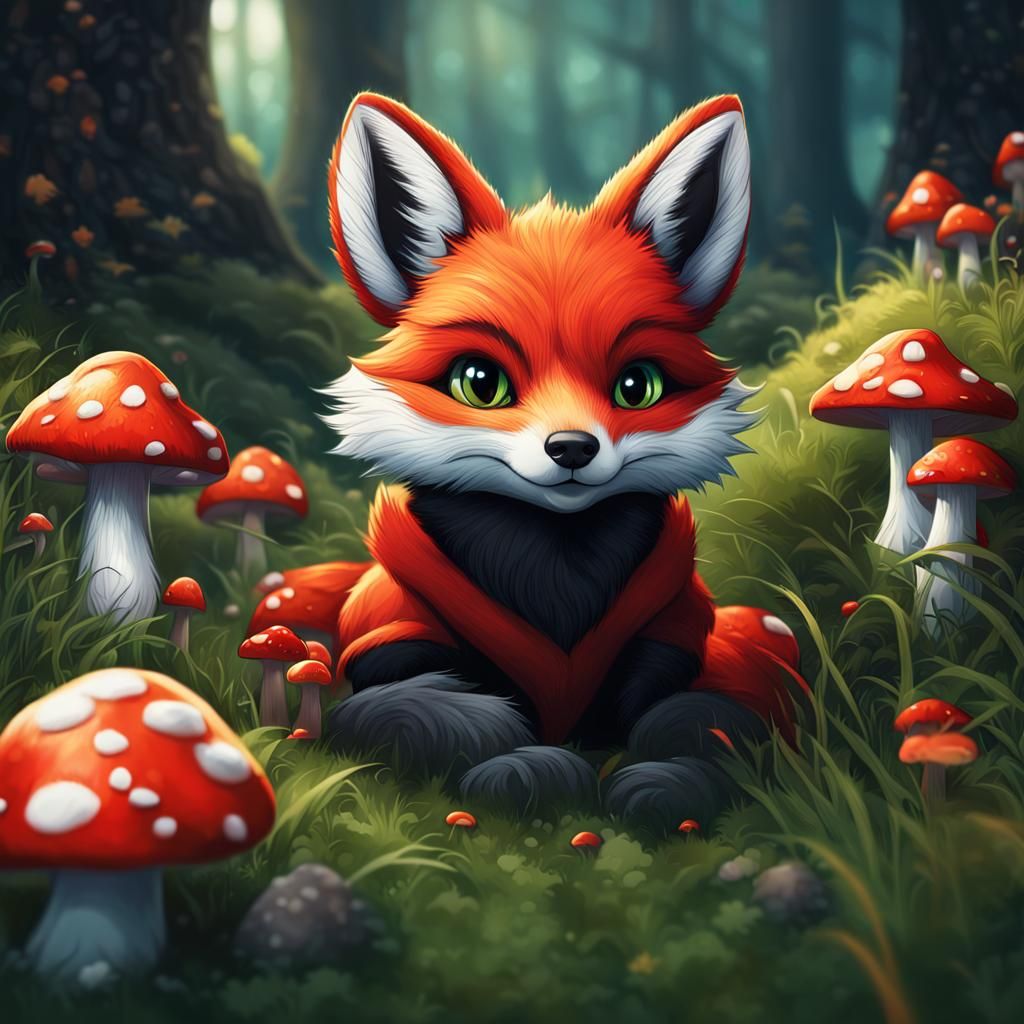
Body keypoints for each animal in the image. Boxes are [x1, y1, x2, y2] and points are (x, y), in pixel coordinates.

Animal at [248, 92, 807, 832]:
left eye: (637, 386)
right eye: (480, 382)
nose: (571, 447)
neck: (556, 569)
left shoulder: (673, 639)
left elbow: (704, 720)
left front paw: (665, 783)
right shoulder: (393, 634)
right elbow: (431, 714)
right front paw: (532, 772)